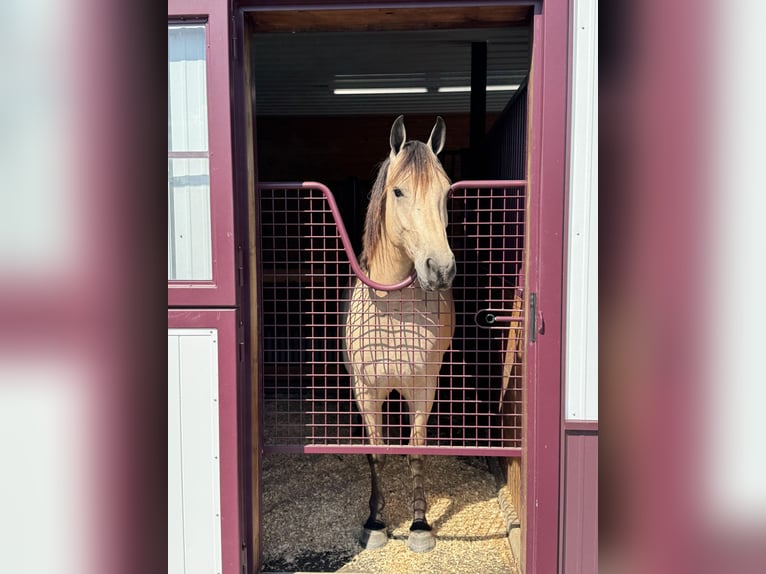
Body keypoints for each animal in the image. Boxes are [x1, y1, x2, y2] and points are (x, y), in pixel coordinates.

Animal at [342, 115, 456, 553]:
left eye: (445, 191)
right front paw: (375, 522)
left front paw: (419, 525)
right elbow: (376, 453)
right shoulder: (366, 388)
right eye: (398, 190)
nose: (440, 269)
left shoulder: (422, 386)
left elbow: (415, 451)